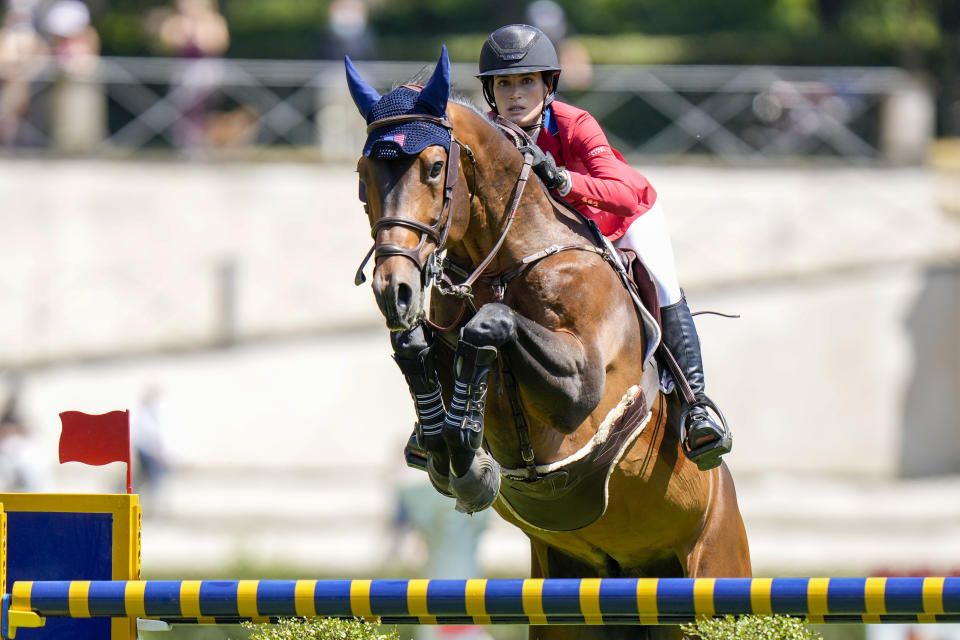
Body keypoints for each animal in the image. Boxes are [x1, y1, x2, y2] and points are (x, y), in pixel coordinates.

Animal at [344, 48, 752, 636]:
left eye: (435, 168)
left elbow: (490, 325)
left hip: (713, 572)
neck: (506, 259)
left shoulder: (583, 389)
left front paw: (467, 450)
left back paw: (703, 428)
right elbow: (420, 351)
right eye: (363, 175)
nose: (393, 290)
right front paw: (453, 448)